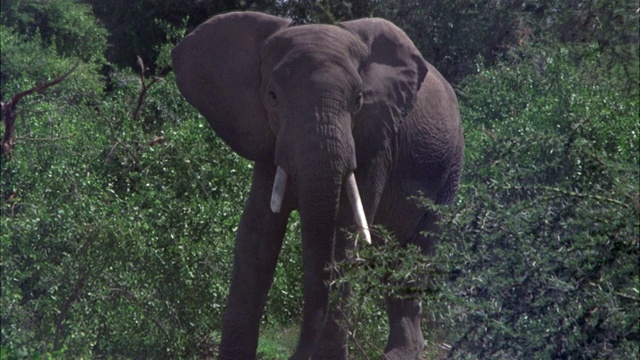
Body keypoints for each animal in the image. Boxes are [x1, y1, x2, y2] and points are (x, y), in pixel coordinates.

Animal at [172, 11, 462, 360]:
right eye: (272, 96)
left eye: (359, 100)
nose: (296, 354)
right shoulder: (269, 141)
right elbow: (257, 234)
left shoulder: (375, 140)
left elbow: (345, 234)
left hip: (449, 170)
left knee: (413, 255)